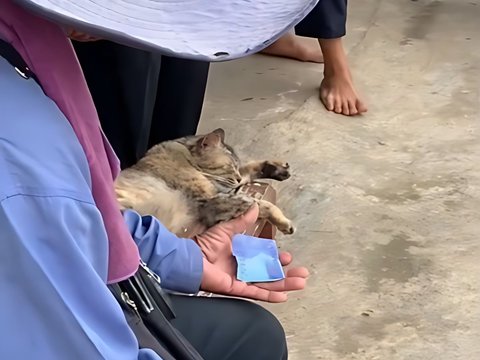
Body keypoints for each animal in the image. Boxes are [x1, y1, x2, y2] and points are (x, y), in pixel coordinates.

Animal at [116, 129, 294, 236]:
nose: (236, 177)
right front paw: (283, 221)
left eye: (235, 167)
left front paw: (275, 167)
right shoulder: (211, 198)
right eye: (230, 166)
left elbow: (248, 169)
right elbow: (264, 204)